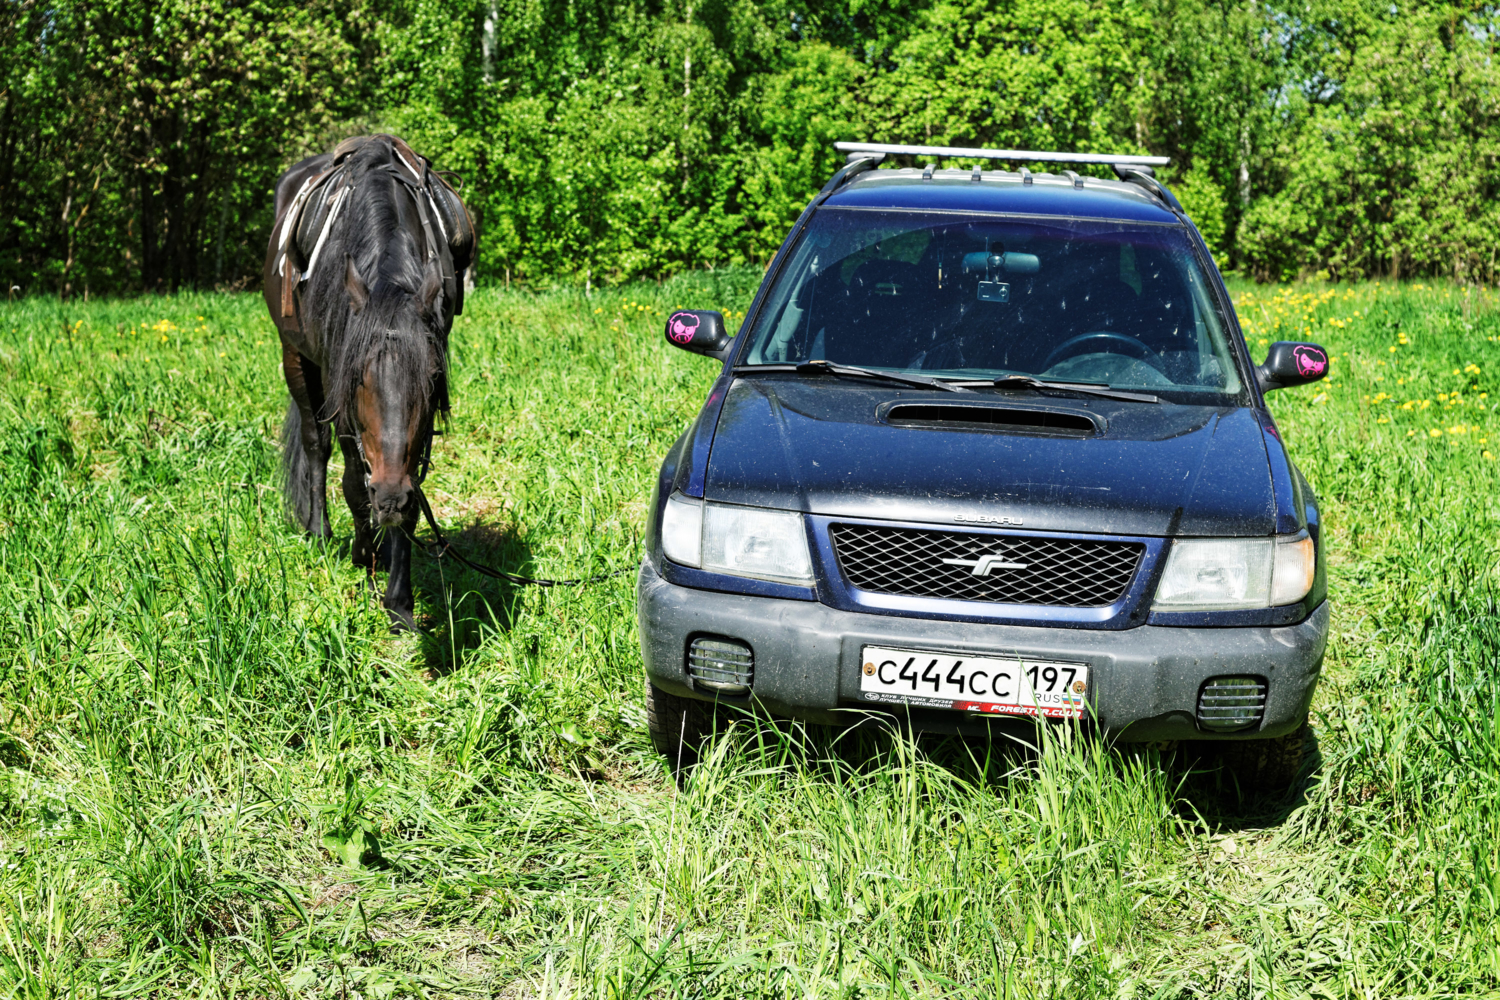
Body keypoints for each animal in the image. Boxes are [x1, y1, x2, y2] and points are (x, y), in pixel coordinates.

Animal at [264, 137, 474, 629]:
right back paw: (320, 532)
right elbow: (355, 485)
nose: (390, 497)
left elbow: (412, 495)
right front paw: (365, 554)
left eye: (432, 377)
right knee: (317, 445)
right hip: (295, 358)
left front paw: (399, 598)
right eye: (356, 378)